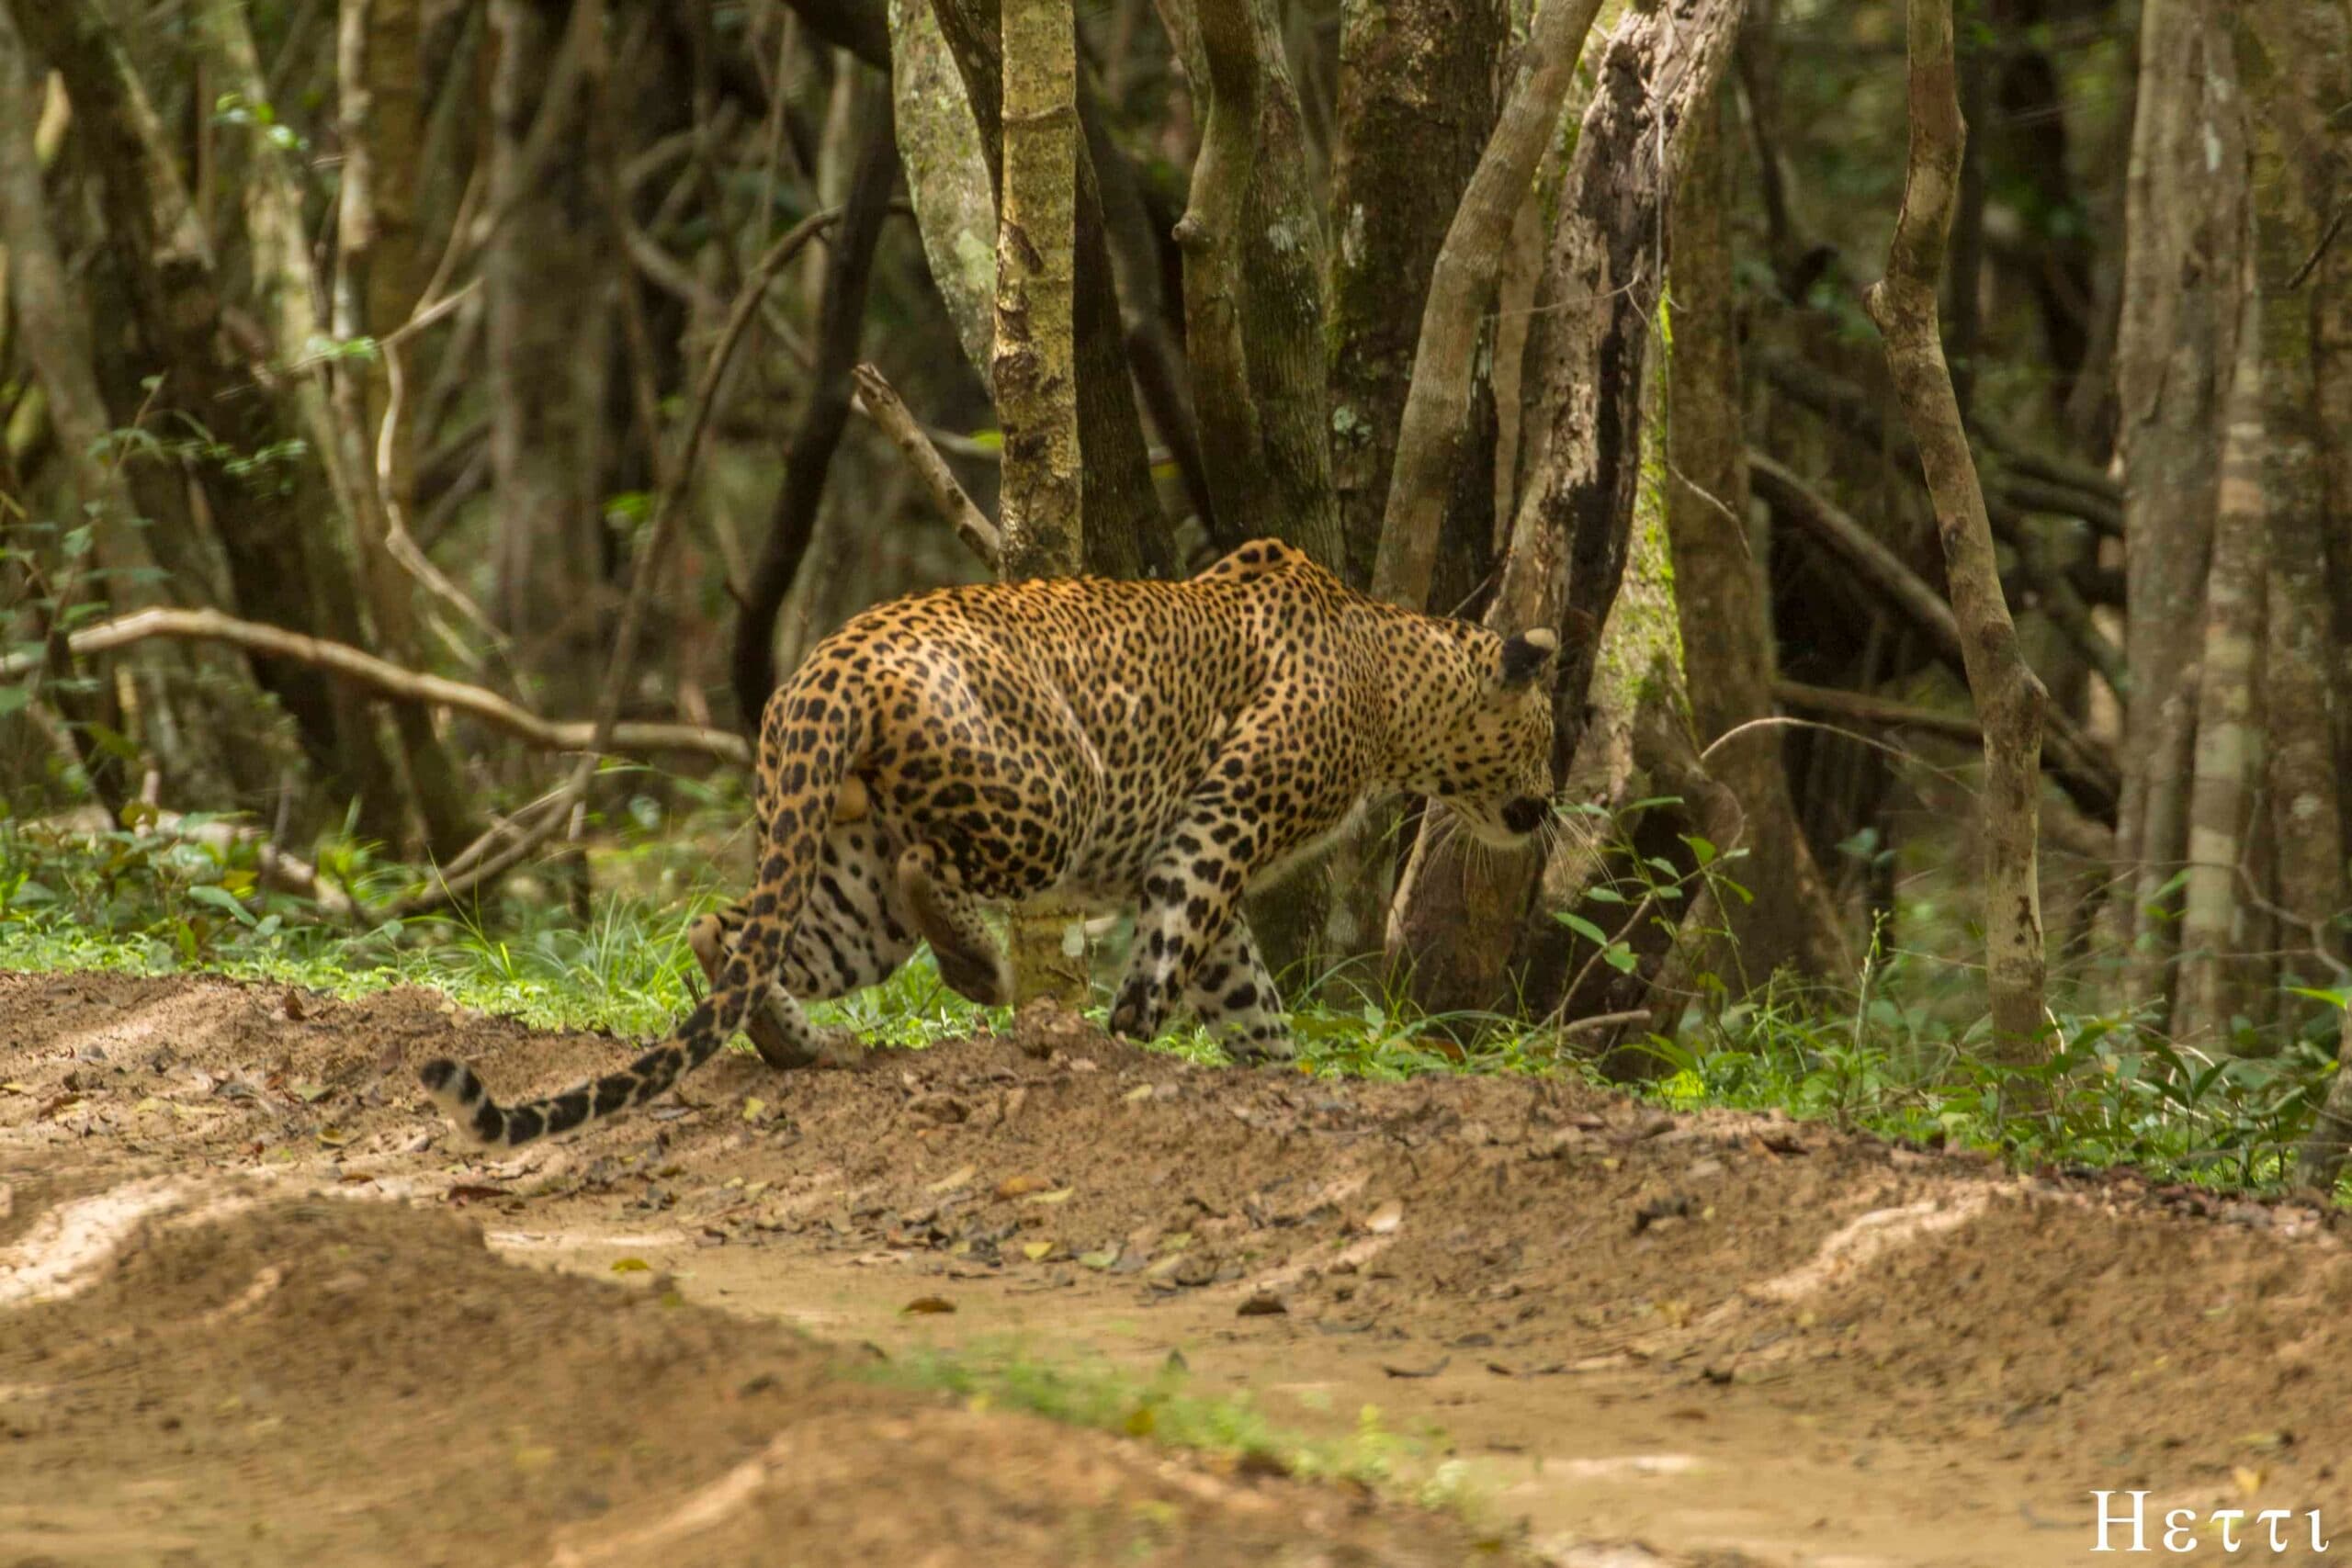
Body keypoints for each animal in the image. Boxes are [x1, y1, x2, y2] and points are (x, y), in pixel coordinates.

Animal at [420, 537, 1559, 1147]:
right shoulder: (1219, 823)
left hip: (848, 876)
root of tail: (829, 664)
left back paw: (799, 1043)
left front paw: (1274, 1078)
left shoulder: (1203, 869)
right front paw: (1128, 1038)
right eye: (1546, 732)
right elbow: (1177, 948)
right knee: (933, 871)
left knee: (734, 929)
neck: (1395, 684)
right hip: (1052, 794)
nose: (1548, 808)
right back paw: (980, 974)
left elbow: (1244, 989)